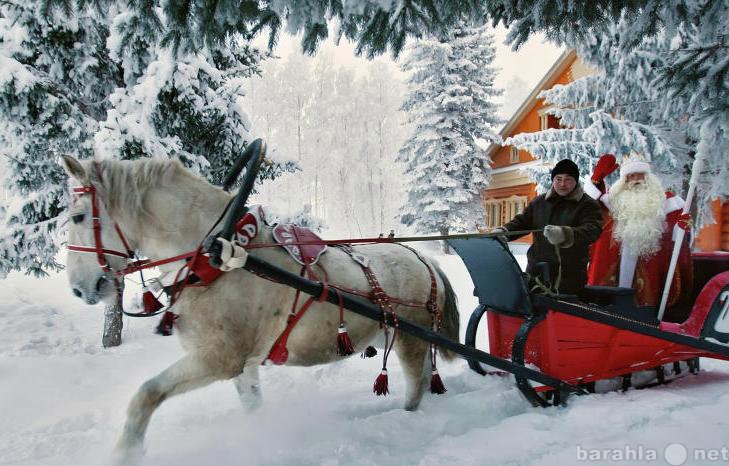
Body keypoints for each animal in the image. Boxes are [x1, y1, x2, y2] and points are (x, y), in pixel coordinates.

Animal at [64, 155, 460, 460]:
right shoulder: (243, 366)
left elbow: (146, 394)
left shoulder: (218, 358)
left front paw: (125, 453)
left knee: (416, 383)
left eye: (78, 217)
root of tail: (423, 258)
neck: (217, 258)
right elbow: (252, 407)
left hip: (410, 340)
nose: (78, 288)